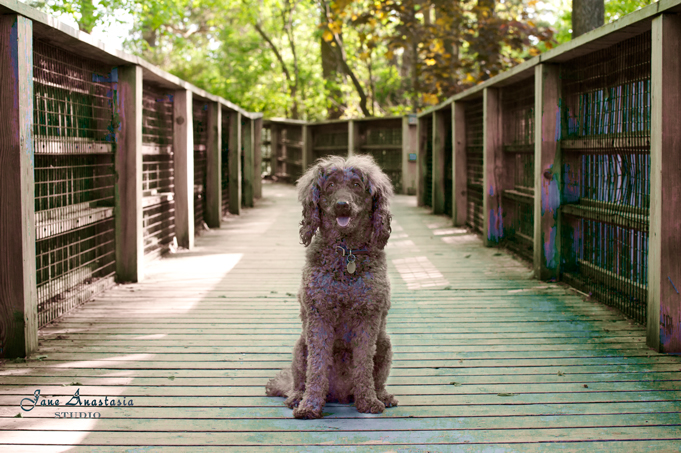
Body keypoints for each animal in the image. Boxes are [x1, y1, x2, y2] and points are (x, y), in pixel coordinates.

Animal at [262, 154, 396, 418]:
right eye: (331, 185)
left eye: (356, 185)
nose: (342, 205)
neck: (346, 254)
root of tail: (341, 395)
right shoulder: (319, 315)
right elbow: (317, 367)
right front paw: (310, 405)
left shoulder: (368, 317)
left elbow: (364, 365)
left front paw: (368, 402)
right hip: (300, 347)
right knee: (299, 380)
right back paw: (296, 397)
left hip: (385, 343)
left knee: (379, 380)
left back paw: (383, 396)